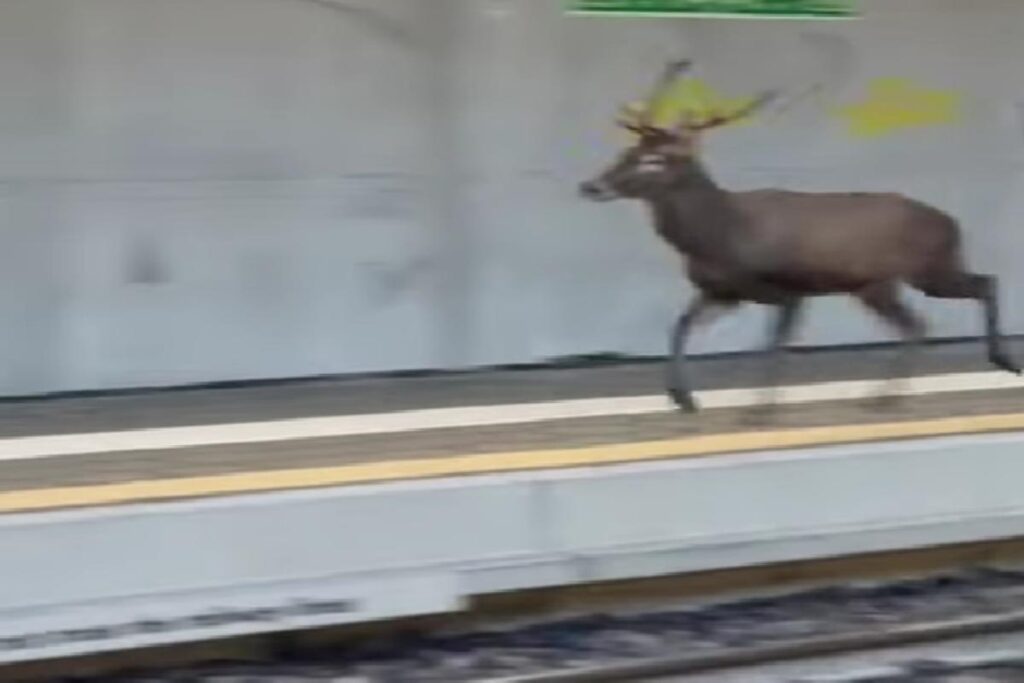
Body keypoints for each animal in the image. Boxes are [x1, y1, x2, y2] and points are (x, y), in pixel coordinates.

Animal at [579, 60, 1020, 416]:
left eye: (655, 160)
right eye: (625, 152)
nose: (591, 185)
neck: (721, 236)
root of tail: (952, 221)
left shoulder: (787, 289)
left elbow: (773, 342)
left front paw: (760, 408)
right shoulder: (721, 291)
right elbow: (680, 325)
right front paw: (684, 398)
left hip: (921, 270)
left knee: (957, 298)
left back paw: (901, 392)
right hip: (893, 280)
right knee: (947, 304)